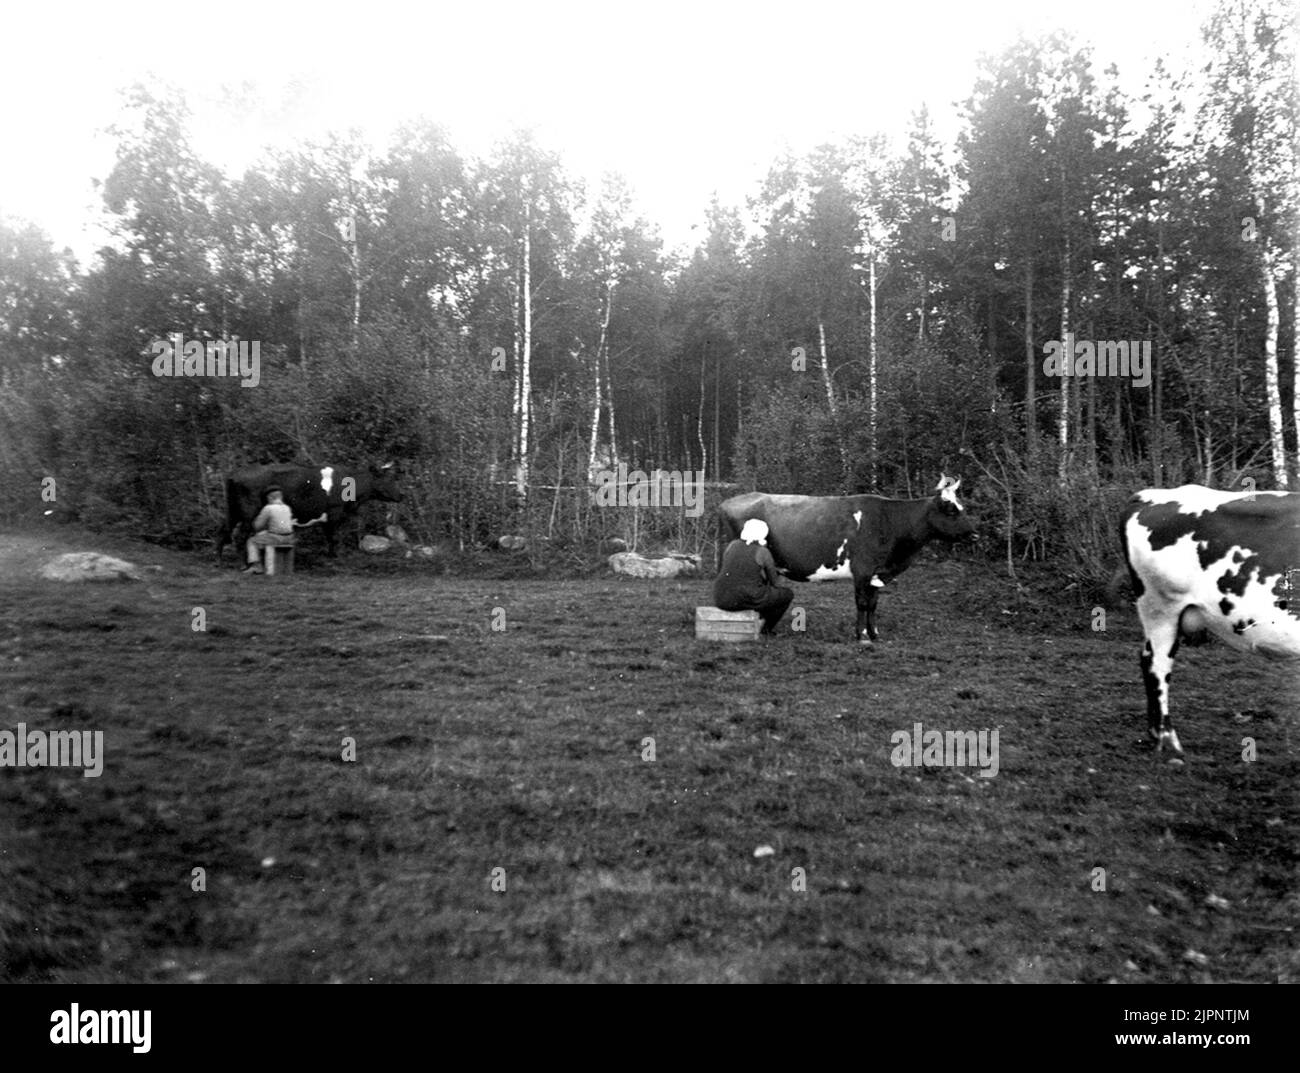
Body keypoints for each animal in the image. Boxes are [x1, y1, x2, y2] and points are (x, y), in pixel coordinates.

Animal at [215, 460, 403, 561]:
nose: (401, 495)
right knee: (240, 536)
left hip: (233, 512)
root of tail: (235, 473)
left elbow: (329, 537)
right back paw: (244, 562)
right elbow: (333, 537)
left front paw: (330, 555)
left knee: (223, 530)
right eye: (388, 479)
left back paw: (219, 559)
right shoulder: (335, 513)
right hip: (248, 513)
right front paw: (335, 557)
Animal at [722, 476, 977, 645]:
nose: (975, 534)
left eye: (961, 506)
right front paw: (862, 636)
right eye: (951, 510)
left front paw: (875, 634)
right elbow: (862, 604)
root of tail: (729, 501)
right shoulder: (862, 571)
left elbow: (873, 604)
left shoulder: (877, 573)